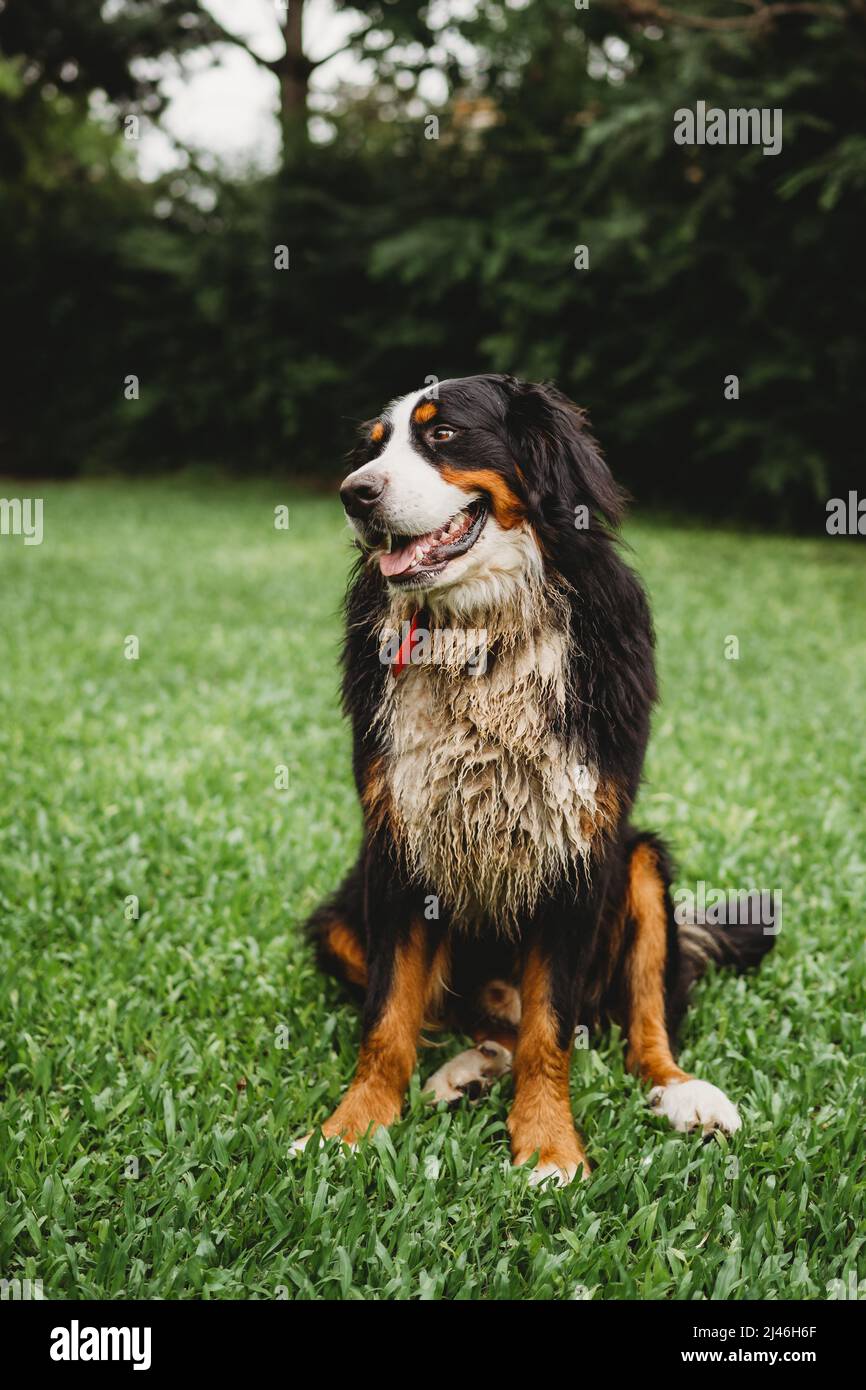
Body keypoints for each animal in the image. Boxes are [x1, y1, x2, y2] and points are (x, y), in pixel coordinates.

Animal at [294, 372, 778, 1184]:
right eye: (373, 448)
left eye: (444, 434)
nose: (353, 494)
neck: (482, 638)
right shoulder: (397, 844)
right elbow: (388, 1017)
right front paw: (351, 1129)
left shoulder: (576, 847)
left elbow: (550, 1027)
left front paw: (549, 1145)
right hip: (338, 919)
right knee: (471, 1018)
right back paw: (468, 1070)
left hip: (640, 861)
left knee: (641, 1026)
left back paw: (685, 1094)